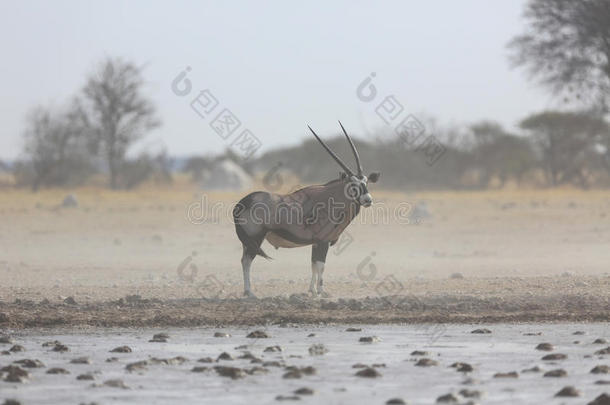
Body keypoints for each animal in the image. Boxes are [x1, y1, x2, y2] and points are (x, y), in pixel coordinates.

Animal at [232, 120, 378, 296]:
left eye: (366, 182)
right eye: (352, 184)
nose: (367, 200)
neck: (331, 198)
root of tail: (243, 202)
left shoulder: (316, 243)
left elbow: (313, 265)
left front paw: (312, 290)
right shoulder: (323, 241)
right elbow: (321, 265)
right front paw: (321, 292)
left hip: (248, 240)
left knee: (243, 260)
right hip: (255, 237)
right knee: (247, 261)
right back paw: (249, 292)